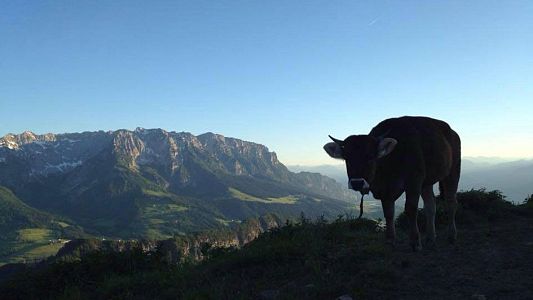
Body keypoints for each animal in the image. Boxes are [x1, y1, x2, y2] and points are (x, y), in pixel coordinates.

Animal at [322, 116, 460, 250]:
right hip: (427, 182)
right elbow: (388, 213)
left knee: (451, 202)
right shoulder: (384, 190)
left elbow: (410, 209)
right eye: (347, 159)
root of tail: (452, 131)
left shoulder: (414, 181)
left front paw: (415, 241)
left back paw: (452, 236)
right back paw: (431, 238)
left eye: (370, 157)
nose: (357, 183)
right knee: (430, 205)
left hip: (453, 170)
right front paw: (390, 240)